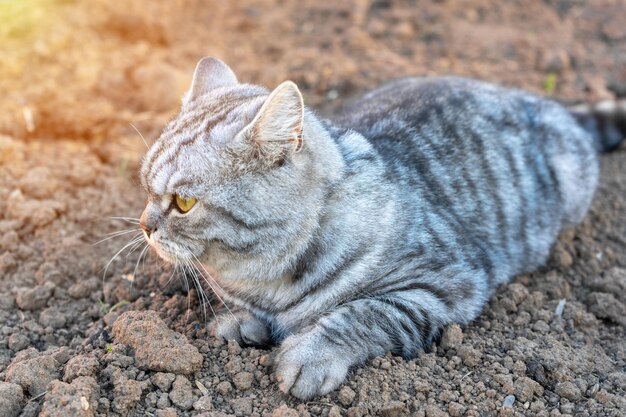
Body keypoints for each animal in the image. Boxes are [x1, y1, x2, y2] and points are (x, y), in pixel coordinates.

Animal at [140, 57, 624, 398]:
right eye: (144, 185)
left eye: (183, 202)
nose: (144, 225)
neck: (265, 278)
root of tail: (547, 104)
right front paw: (240, 323)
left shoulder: (443, 285)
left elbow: (363, 314)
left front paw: (308, 356)